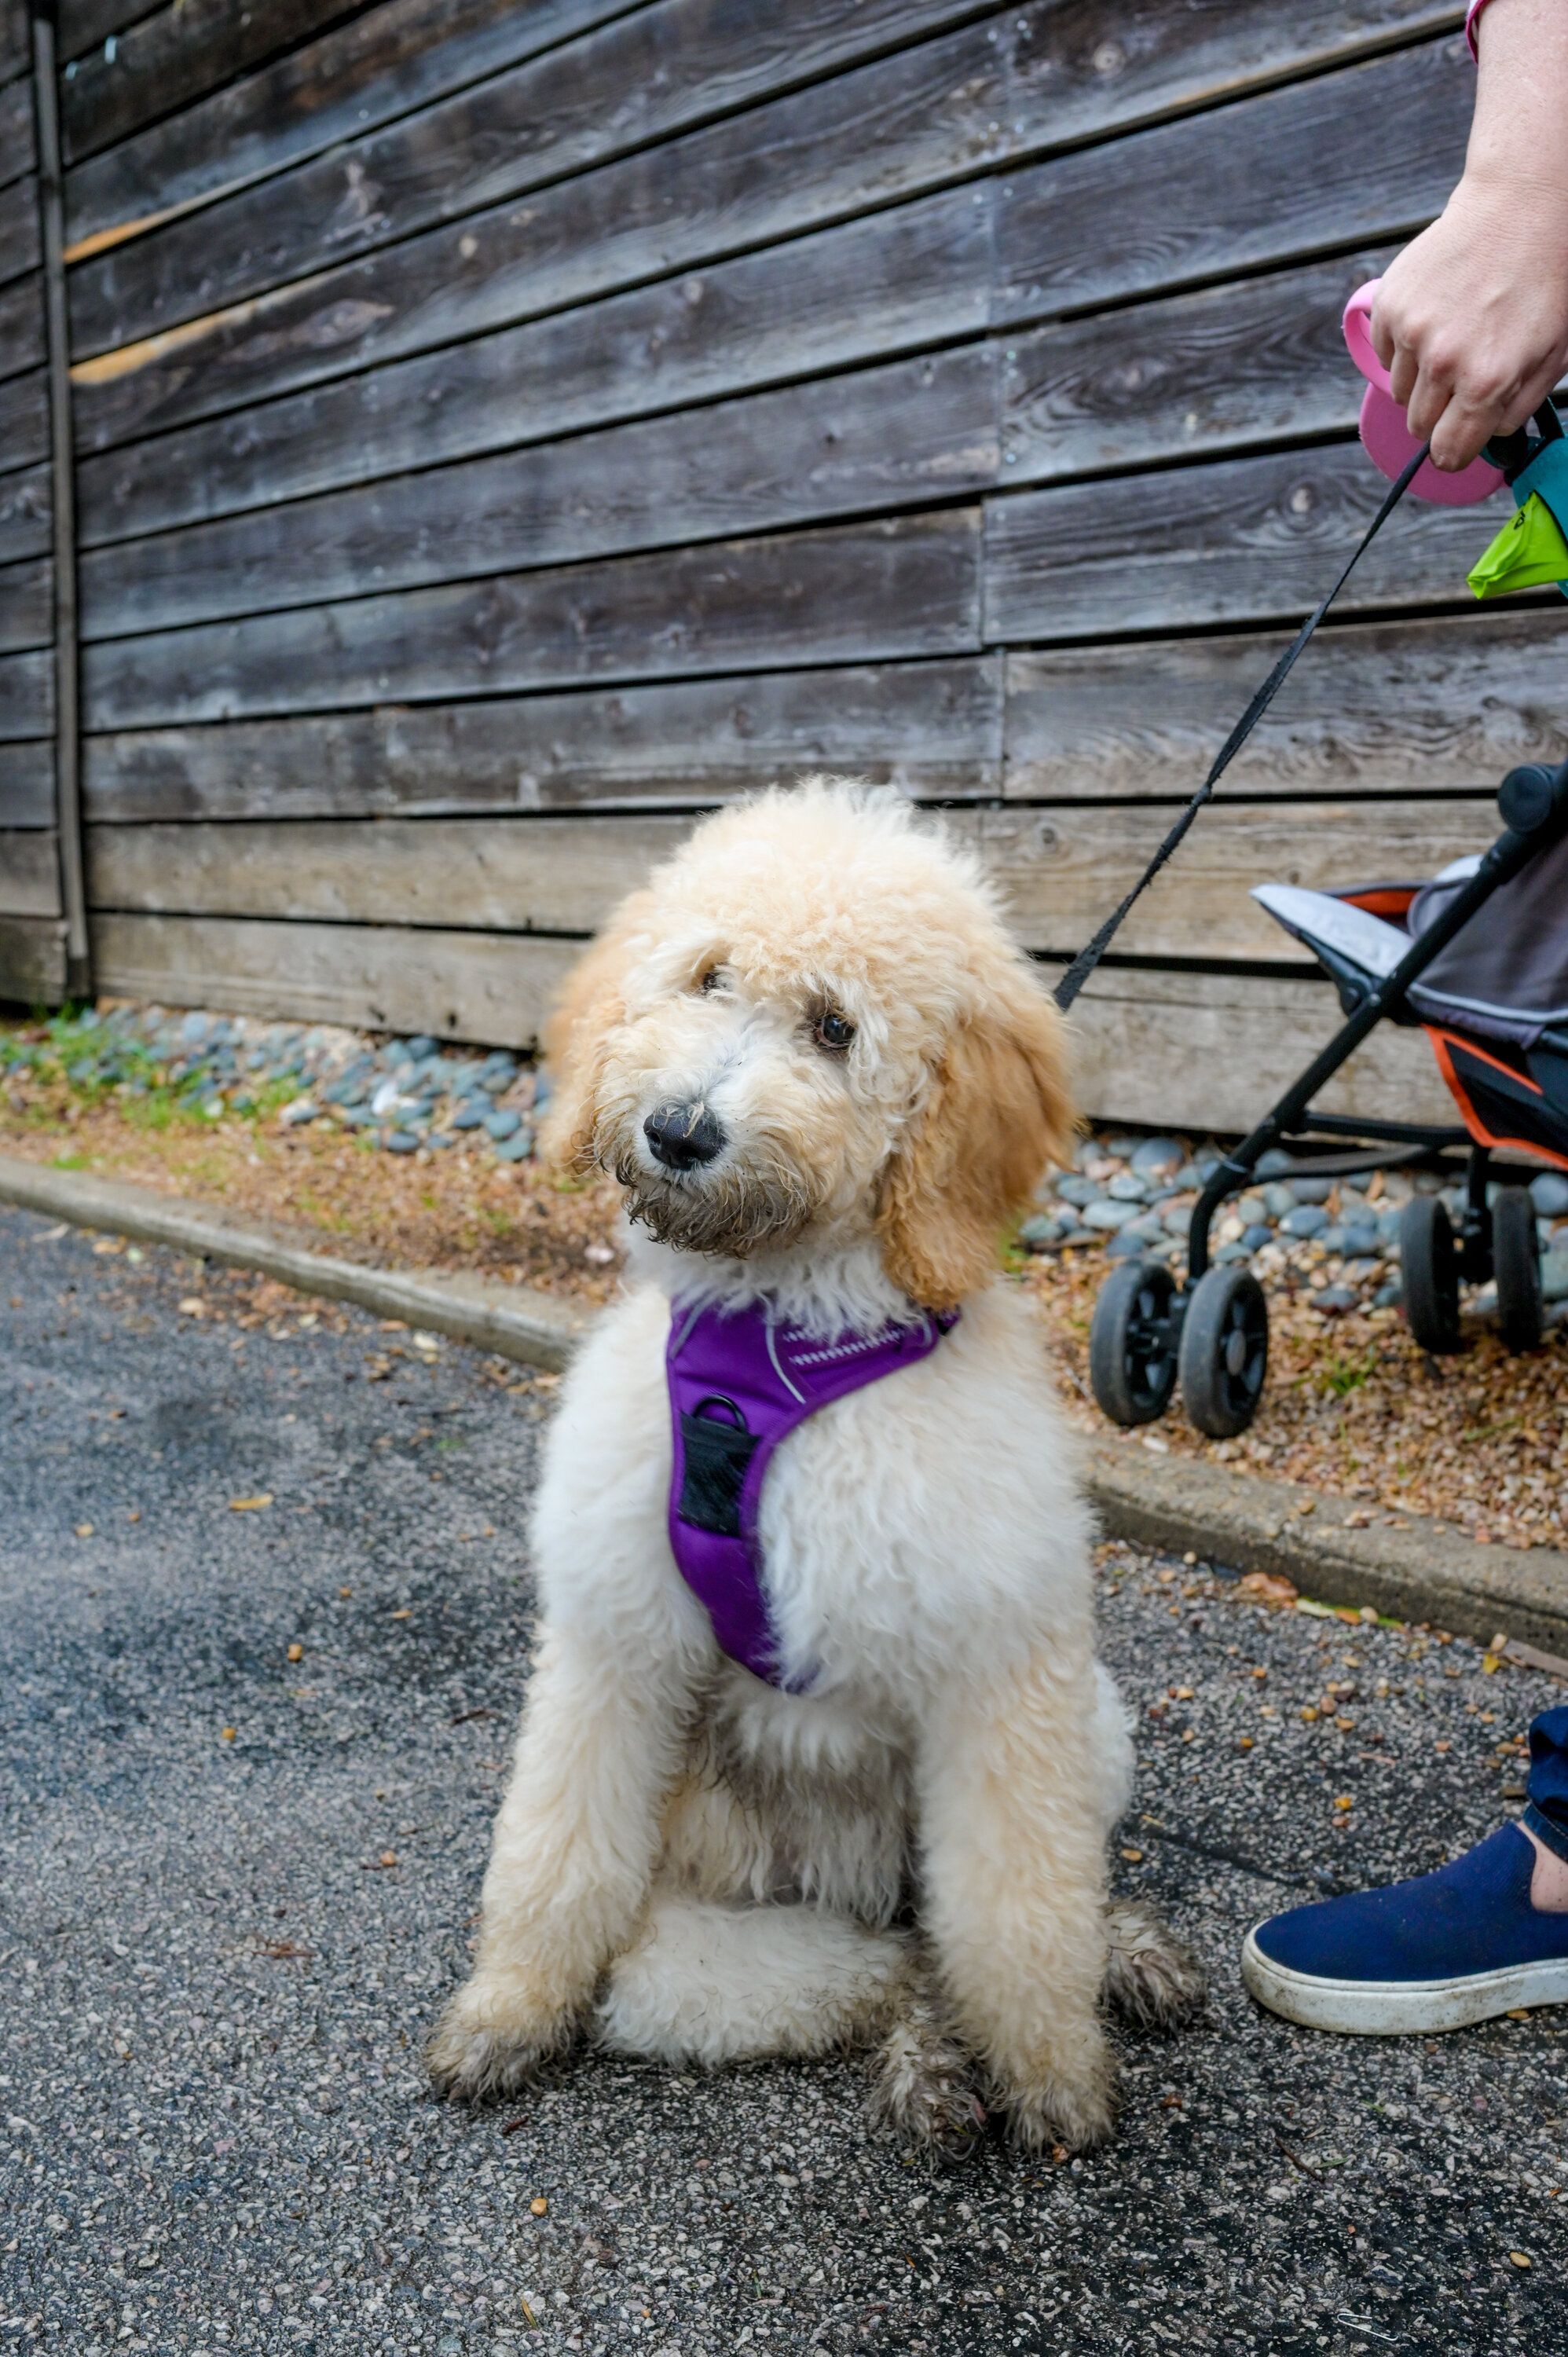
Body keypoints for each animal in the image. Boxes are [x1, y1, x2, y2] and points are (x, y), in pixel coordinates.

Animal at [429, 783, 1197, 2150]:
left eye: (837, 1028)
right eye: (707, 975)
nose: (679, 1131)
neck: (778, 1351)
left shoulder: (1001, 1671)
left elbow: (1018, 1909)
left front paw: (1053, 2069)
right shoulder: (612, 1643)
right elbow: (554, 1847)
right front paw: (509, 2011)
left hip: (1091, 1722)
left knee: (976, 1915)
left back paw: (1114, 1957)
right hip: (714, 1916)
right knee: (870, 1966)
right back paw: (926, 2059)